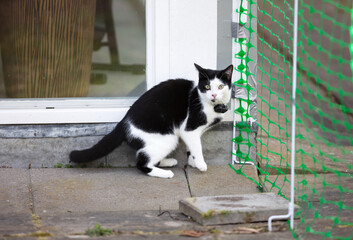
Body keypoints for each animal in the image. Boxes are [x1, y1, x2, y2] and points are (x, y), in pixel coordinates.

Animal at [70, 63, 232, 178]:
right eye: (207, 86)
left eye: (221, 86)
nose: (214, 95)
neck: (209, 104)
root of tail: (124, 122)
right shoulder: (189, 128)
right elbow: (197, 147)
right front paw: (200, 164)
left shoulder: (195, 132)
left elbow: (191, 147)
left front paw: (192, 162)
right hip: (167, 138)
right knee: (141, 162)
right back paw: (165, 173)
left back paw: (168, 162)